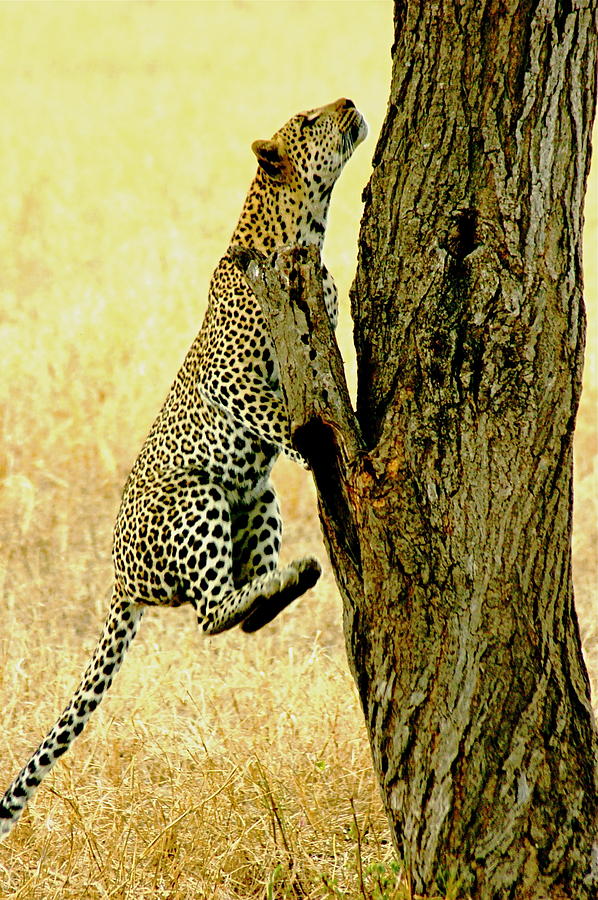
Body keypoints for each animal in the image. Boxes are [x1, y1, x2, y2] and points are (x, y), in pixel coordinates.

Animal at [0, 98, 368, 836]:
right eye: (308, 119)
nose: (347, 103)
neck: (306, 232)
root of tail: (118, 581)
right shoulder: (239, 386)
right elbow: (293, 421)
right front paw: (337, 440)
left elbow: (323, 384)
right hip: (198, 494)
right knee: (208, 613)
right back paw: (283, 578)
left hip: (255, 496)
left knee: (237, 606)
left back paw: (285, 581)